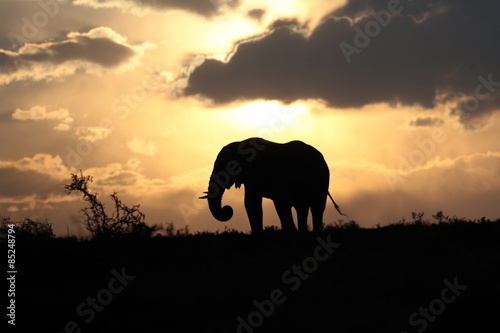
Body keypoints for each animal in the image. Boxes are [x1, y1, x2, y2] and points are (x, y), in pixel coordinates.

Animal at [200, 137, 348, 233]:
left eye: (230, 166)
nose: (227, 208)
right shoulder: (252, 180)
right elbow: (251, 204)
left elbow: (281, 204)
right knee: (302, 208)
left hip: (323, 180)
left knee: (317, 208)